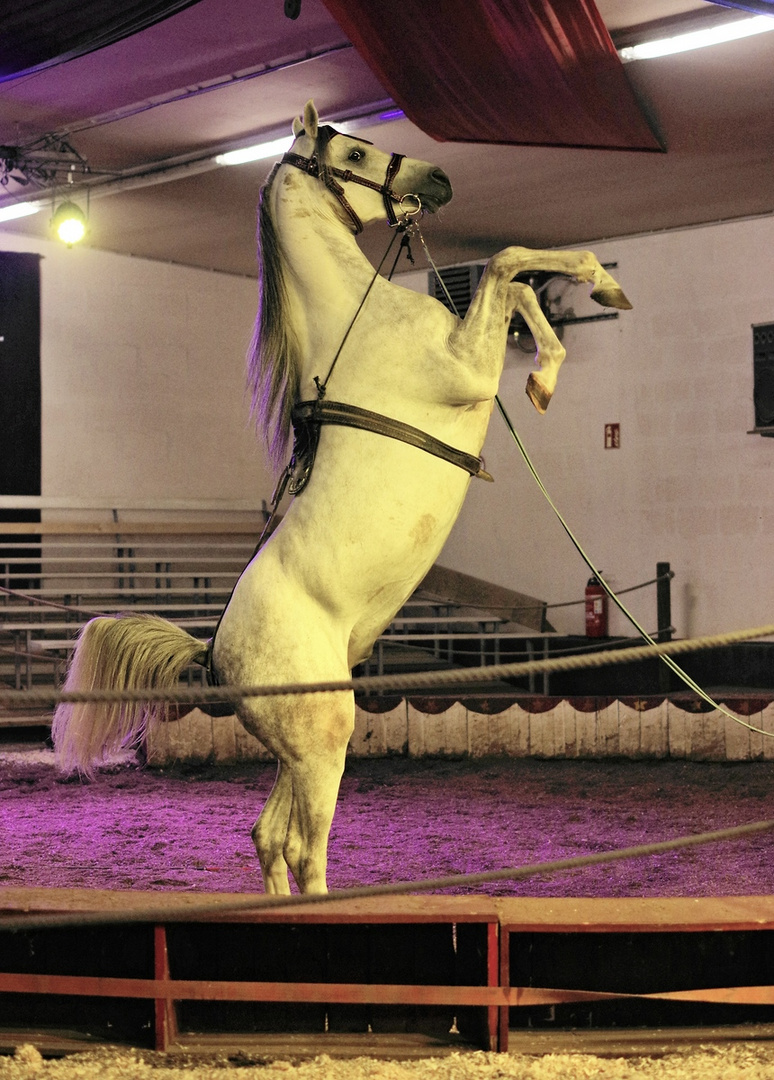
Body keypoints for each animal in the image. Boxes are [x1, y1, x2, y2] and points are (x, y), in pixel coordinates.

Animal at [55, 99, 634, 894]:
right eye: (354, 153)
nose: (441, 177)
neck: (360, 319)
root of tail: (213, 654)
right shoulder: (467, 364)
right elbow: (508, 262)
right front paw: (583, 308)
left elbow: (516, 282)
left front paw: (577, 329)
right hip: (326, 735)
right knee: (304, 848)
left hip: (300, 749)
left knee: (267, 837)